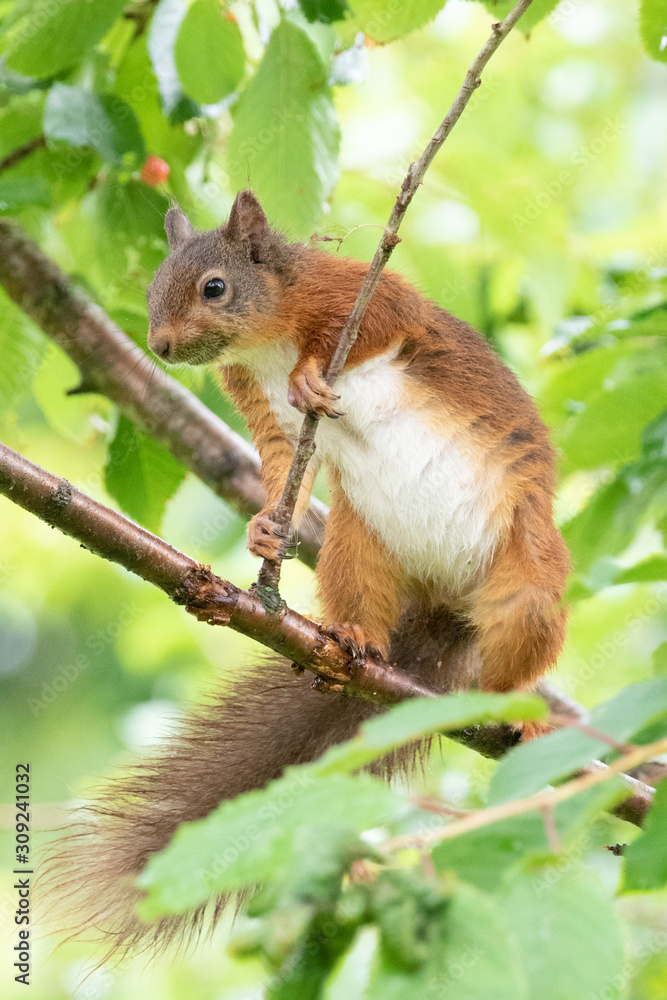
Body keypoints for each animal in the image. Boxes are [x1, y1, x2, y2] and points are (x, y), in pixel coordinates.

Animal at [45, 191, 568, 956]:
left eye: (214, 287)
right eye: (151, 288)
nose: (161, 347)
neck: (267, 336)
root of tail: (444, 606)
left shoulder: (363, 294)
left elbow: (377, 323)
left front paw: (309, 374)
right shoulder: (255, 403)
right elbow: (278, 454)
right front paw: (266, 527)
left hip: (526, 571)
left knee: (519, 644)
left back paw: (520, 712)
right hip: (358, 547)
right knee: (362, 602)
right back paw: (352, 640)